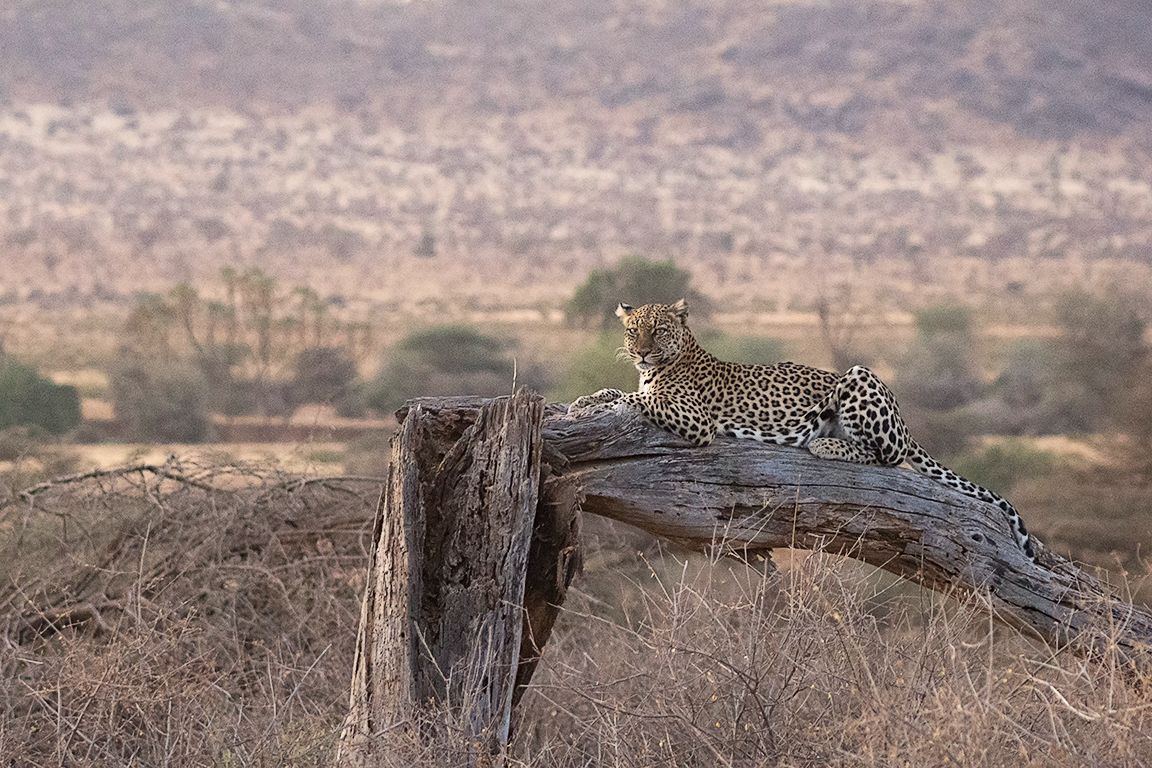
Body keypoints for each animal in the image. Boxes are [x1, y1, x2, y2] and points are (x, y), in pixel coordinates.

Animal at [568, 299, 1036, 562]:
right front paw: (583, 400)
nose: (642, 352)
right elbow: (616, 391)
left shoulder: (695, 419)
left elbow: (637, 399)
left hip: (858, 376)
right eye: (633, 331)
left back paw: (826, 444)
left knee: (887, 457)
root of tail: (905, 422)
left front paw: (602, 402)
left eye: (658, 330)